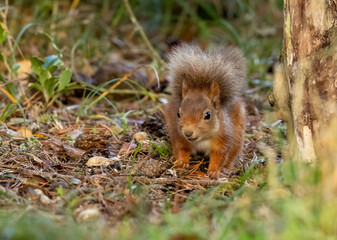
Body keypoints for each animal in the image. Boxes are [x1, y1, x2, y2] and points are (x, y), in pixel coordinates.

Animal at [164, 43, 245, 178]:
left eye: (208, 115)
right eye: (178, 114)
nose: (188, 133)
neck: (202, 139)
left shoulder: (223, 139)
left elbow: (220, 156)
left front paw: (213, 171)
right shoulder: (178, 135)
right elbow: (181, 148)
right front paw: (182, 162)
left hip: (238, 137)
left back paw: (227, 169)